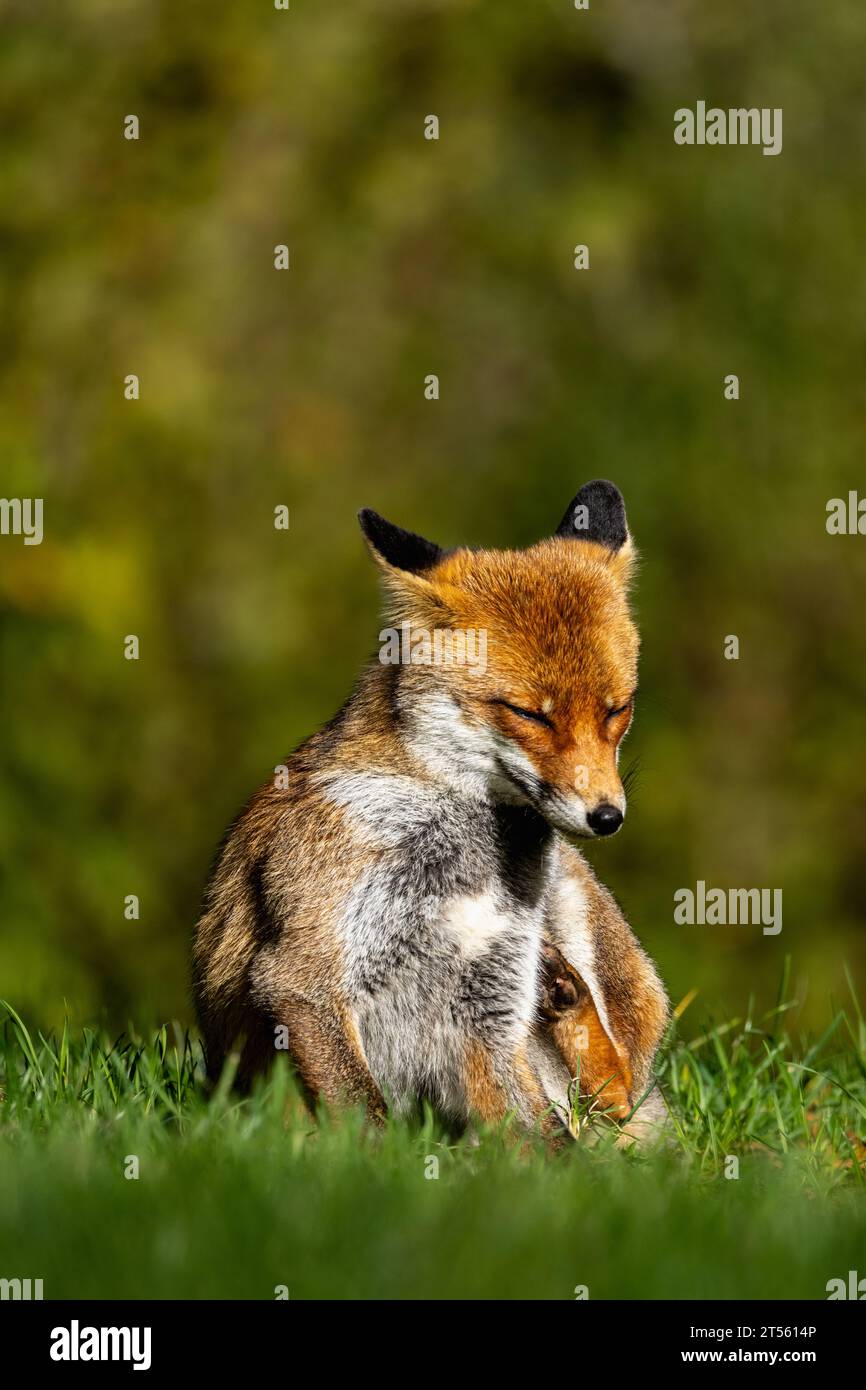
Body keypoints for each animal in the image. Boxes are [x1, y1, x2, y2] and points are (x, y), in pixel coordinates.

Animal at [192, 480, 669, 1142]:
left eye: (616, 710)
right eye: (530, 714)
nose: (606, 816)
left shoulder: (487, 998)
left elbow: (542, 1137)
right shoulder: (303, 974)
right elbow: (364, 1118)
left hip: (576, 904)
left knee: (618, 1092)